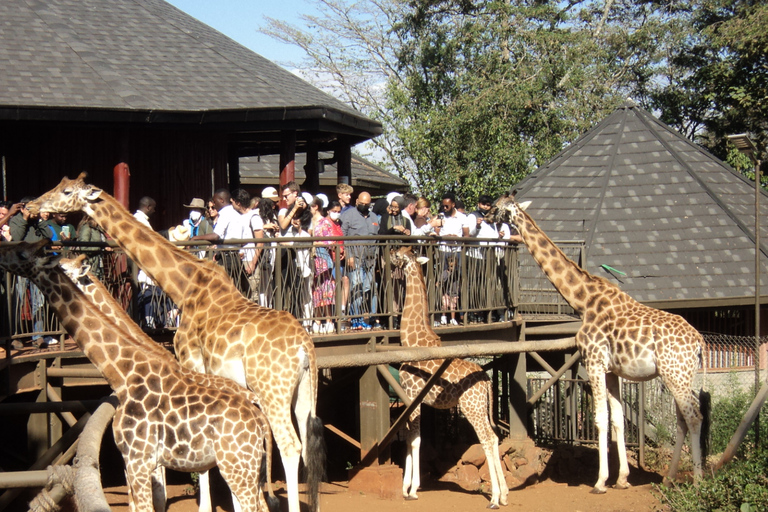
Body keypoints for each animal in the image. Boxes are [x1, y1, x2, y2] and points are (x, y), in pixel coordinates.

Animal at [29, 173, 324, 512]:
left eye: (65, 192)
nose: (32, 206)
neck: (184, 285)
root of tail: (305, 345)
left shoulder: (190, 359)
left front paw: (204, 506)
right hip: (303, 392)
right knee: (306, 447)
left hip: (271, 389)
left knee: (288, 446)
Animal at [390, 247, 510, 508]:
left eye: (400, 254)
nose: (391, 254)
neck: (411, 340)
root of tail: (487, 381)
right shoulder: (411, 399)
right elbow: (409, 437)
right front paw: (405, 487)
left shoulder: (412, 395)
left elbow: (415, 439)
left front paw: (412, 489)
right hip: (481, 407)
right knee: (495, 437)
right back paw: (505, 494)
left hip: (471, 407)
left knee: (486, 438)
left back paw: (494, 498)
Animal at [488, 196, 704, 492]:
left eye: (500, 207)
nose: (487, 214)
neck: (583, 300)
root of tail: (699, 342)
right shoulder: (612, 370)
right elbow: (618, 420)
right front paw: (622, 478)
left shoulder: (593, 361)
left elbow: (600, 419)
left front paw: (600, 481)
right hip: (681, 375)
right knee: (683, 419)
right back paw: (669, 479)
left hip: (675, 373)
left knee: (694, 417)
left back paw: (699, 481)